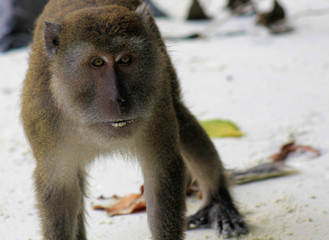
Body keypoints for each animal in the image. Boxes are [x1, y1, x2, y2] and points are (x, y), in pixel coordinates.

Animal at [21, 0, 246, 240]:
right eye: (97, 62)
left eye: (125, 60)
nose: (120, 99)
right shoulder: (43, 120)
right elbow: (59, 190)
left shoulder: (156, 103)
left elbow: (161, 172)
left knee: (182, 120)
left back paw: (218, 202)